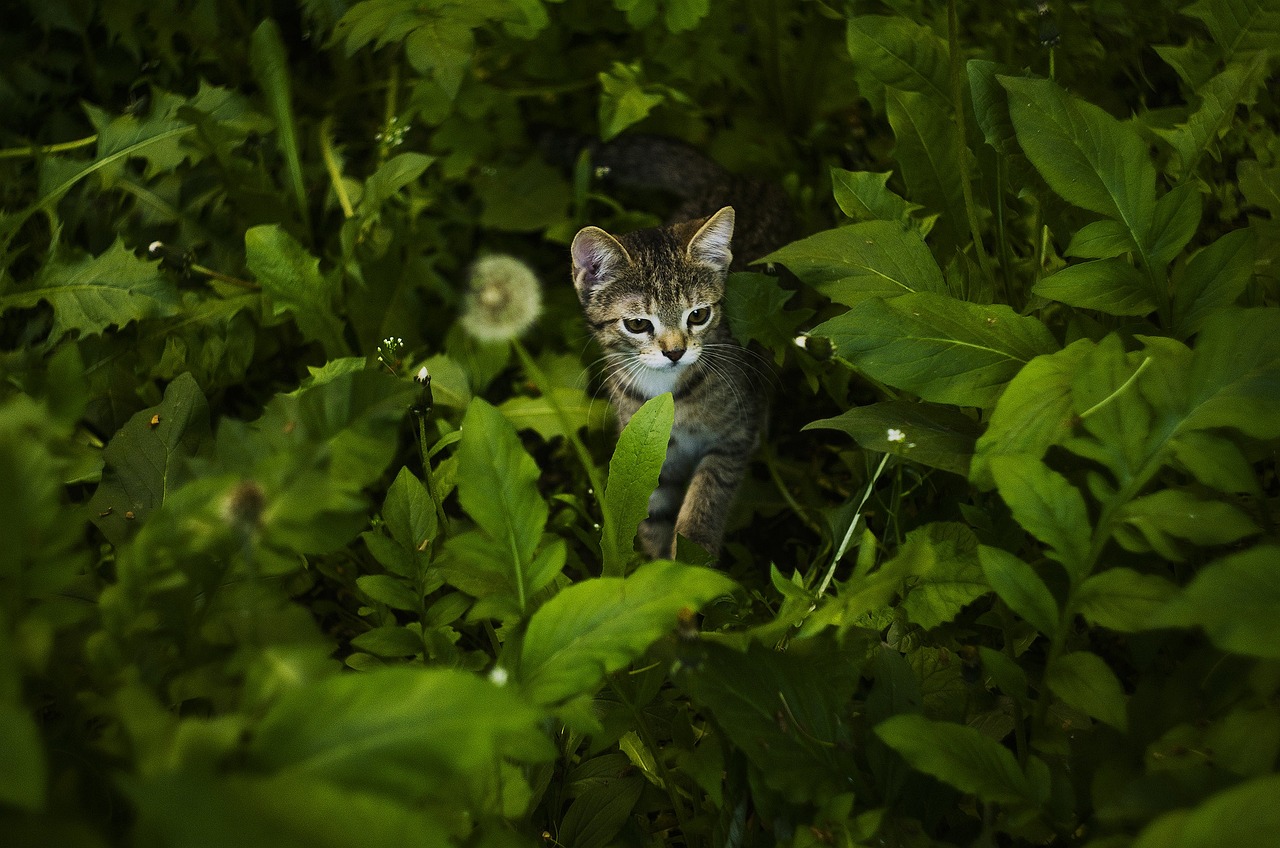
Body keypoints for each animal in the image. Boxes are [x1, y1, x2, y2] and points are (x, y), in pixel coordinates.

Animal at [570, 206, 757, 561]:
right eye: (637, 324)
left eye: (698, 315)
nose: (674, 351)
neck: (668, 391)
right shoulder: (648, 447)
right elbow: (651, 513)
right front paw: (660, 565)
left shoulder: (735, 437)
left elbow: (706, 497)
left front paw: (692, 554)